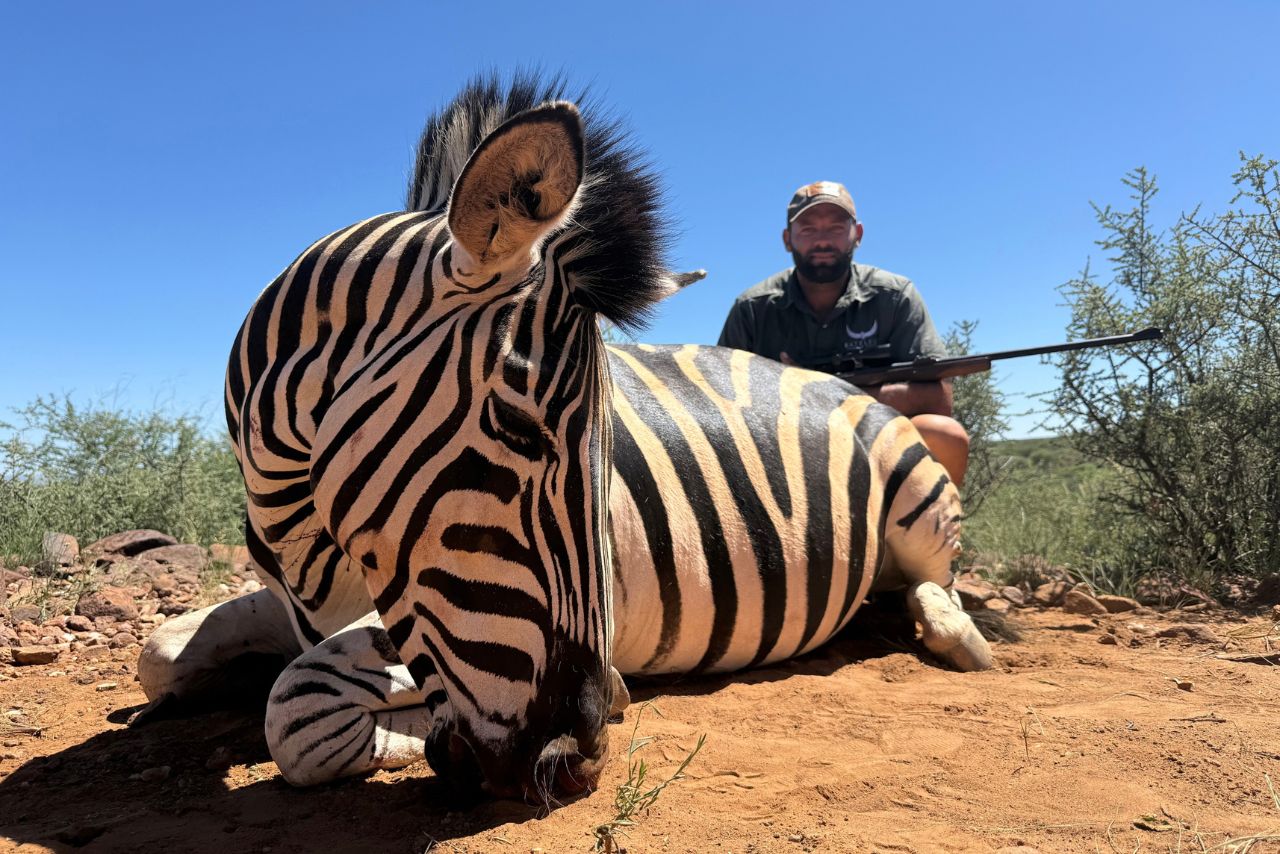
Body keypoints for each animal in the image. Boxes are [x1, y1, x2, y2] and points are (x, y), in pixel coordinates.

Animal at [136, 74, 993, 803]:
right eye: (520, 427)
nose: (573, 760)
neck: (302, 540)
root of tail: (832, 379)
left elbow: (303, 709)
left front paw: (397, 716)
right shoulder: (294, 601)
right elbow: (160, 654)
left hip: (917, 486)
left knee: (936, 580)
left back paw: (957, 636)